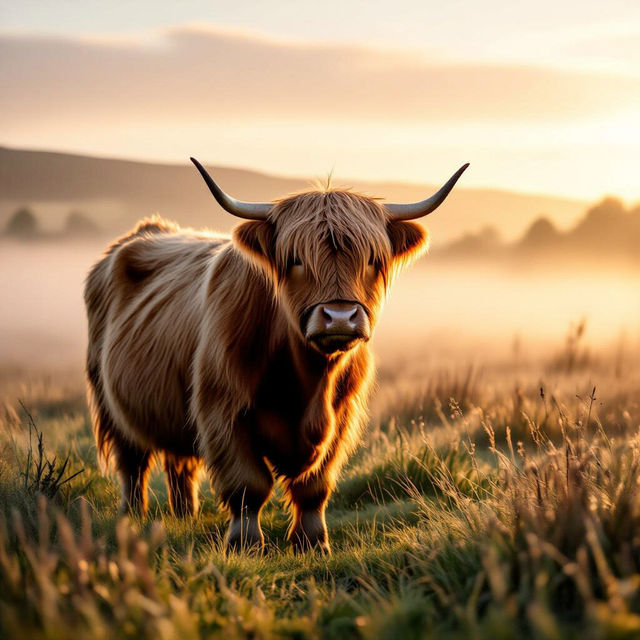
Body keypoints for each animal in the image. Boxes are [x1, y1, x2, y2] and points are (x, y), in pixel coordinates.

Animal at [84, 158, 468, 553]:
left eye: (373, 260)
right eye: (296, 259)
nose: (340, 317)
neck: (308, 381)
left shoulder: (341, 418)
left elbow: (314, 487)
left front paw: (313, 542)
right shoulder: (222, 411)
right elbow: (247, 485)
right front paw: (245, 543)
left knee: (180, 464)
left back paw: (184, 514)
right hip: (110, 403)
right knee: (132, 464)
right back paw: (132, 517)